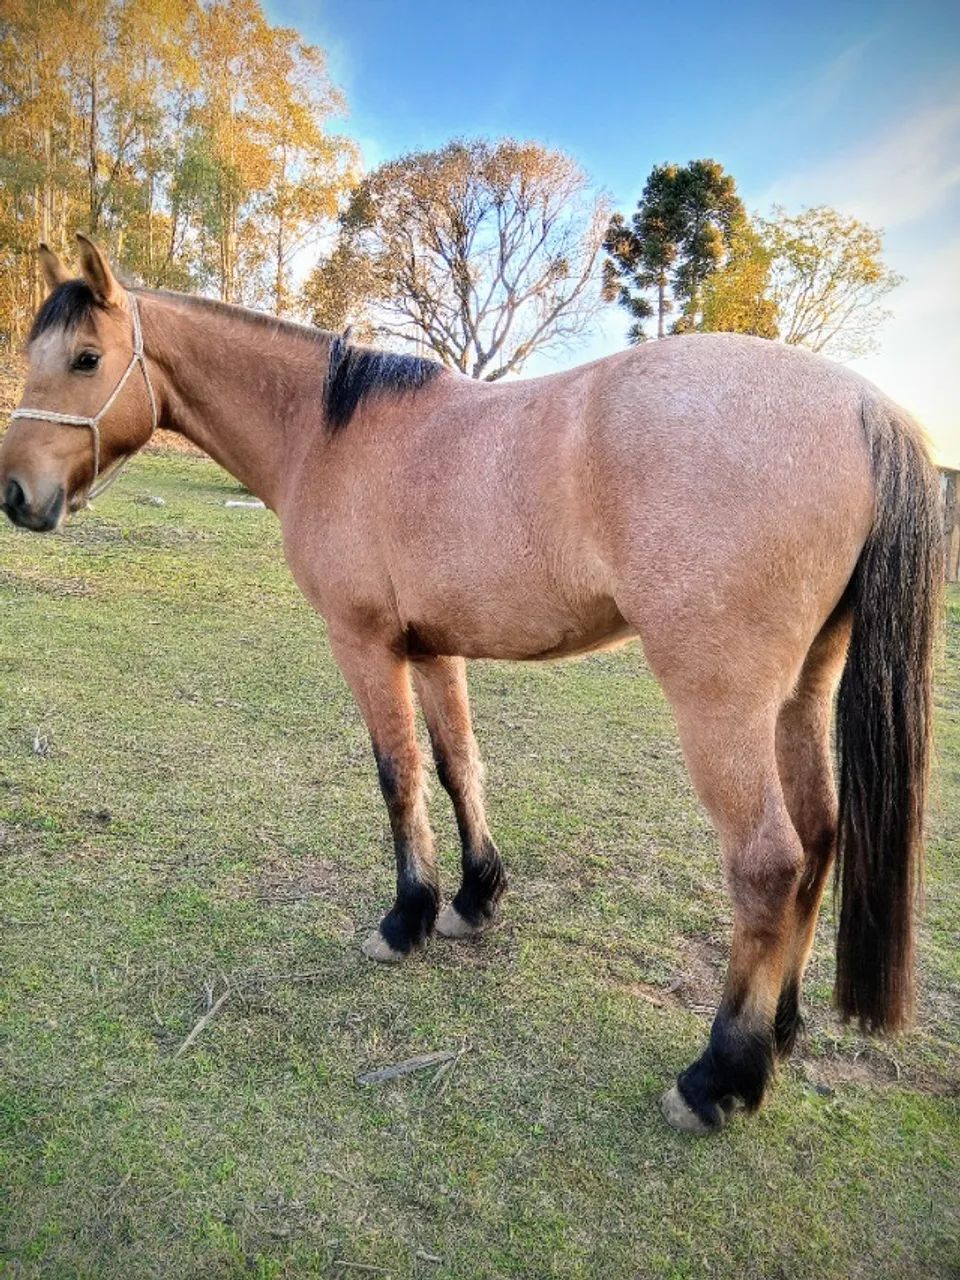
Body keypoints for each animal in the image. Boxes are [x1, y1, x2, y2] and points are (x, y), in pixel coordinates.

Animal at [0, 235, 942, 1135]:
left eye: (85, 358)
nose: (16, 495)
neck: (329, 435)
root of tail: (867, 408)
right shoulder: (431, 649)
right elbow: (459, 766)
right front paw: (473, 899)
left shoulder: (364, 645)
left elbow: (399, 776)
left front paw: (406, 919)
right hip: (801, 695)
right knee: (820, 838)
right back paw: (780, 1030)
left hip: (722, 706)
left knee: (768, 864)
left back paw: (720, 1077)